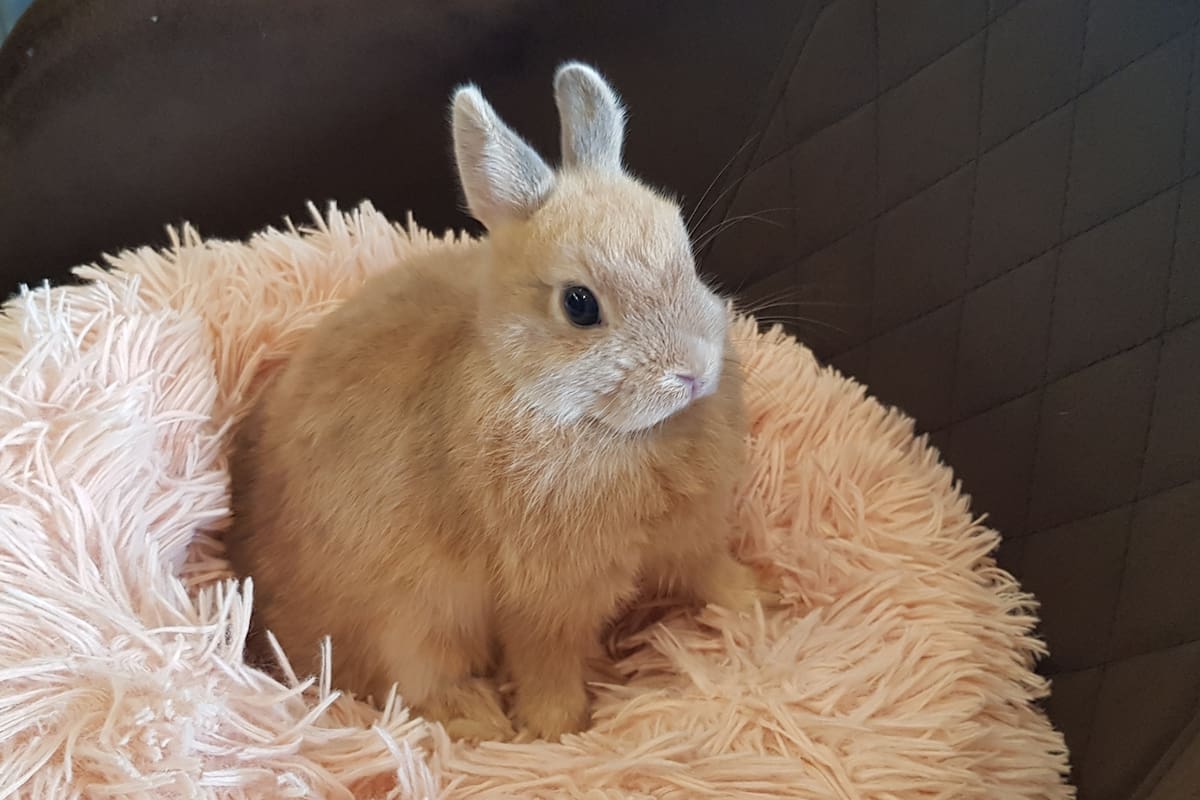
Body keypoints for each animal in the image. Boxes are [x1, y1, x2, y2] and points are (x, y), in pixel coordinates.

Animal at [226, 62, 767, 742]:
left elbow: (710, 572)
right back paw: (480, 719)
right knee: (413, 683)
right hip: (414, 620)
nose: (693, 373)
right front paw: (558, 728)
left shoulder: (691, 539)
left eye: (687, 255)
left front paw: (758, 599)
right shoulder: (547, 597)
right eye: (580, 305)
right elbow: (545, 659)